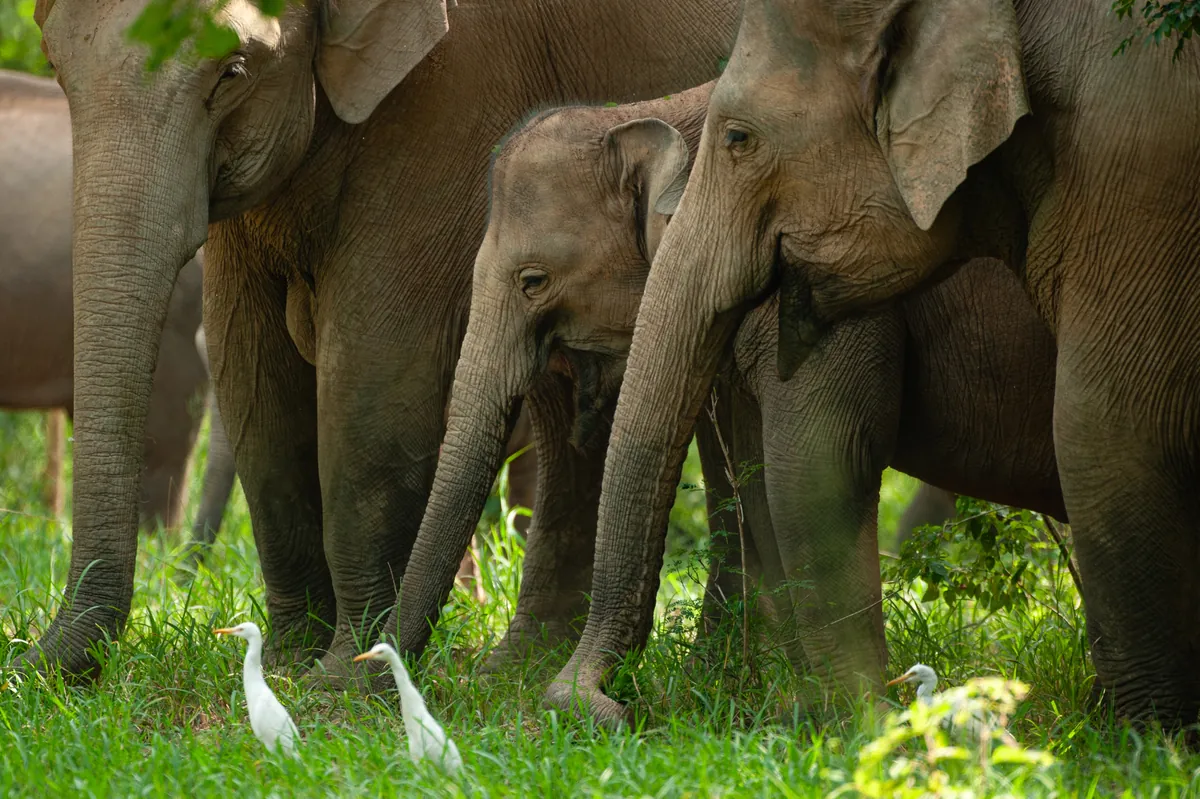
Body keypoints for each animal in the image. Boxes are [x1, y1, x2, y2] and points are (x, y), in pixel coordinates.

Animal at [25, 0, 742, 679]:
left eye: (232, 71)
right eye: (56, 67)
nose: (30, 664)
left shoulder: (455, 84)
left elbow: (376, 359)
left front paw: (339, 678)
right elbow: (248, 360)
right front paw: (287, 662)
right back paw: (519, 670)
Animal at [387, 82, 1065, 717]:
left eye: (533, 281)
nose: (610, 706)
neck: (644, 113)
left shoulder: (824, 277)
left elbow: (813, 460)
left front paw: (828, 714)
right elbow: (755, 471)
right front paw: (771, 697)